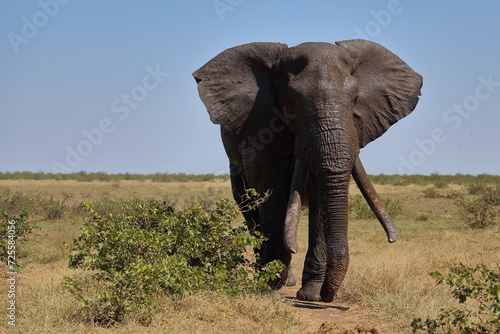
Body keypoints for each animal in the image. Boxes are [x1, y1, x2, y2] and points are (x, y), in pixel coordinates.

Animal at [191, 39, 422, 302]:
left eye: (355, 99)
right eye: (290, 101)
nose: (329, 295)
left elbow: (320, 196)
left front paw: (311, 295)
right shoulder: (259, 128)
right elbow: (271, 191)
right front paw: (272, 283)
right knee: (249, 206)